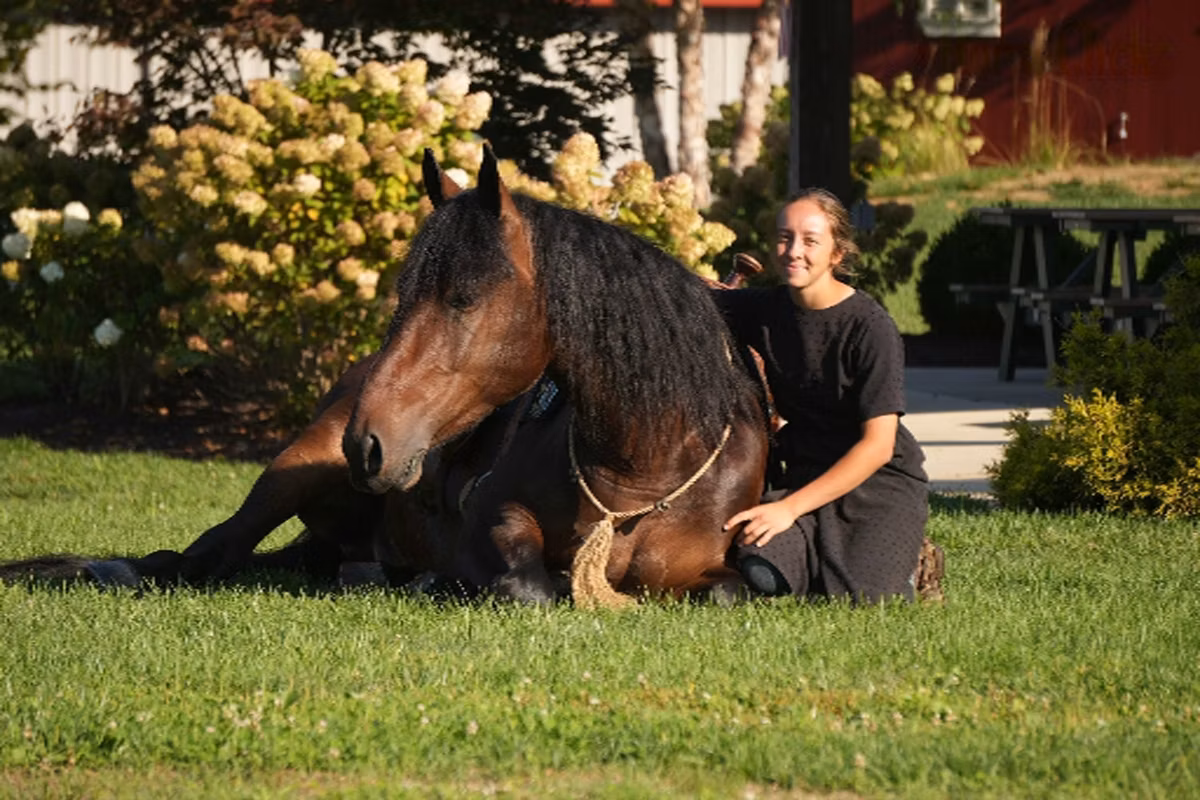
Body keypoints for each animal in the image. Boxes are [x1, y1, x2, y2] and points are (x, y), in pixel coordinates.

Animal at [341, 145, 769, 607]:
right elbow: (528, 585)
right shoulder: (490, 521)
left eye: (464, 298)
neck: (648, 466)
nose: (365, 444)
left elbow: (728, 591)